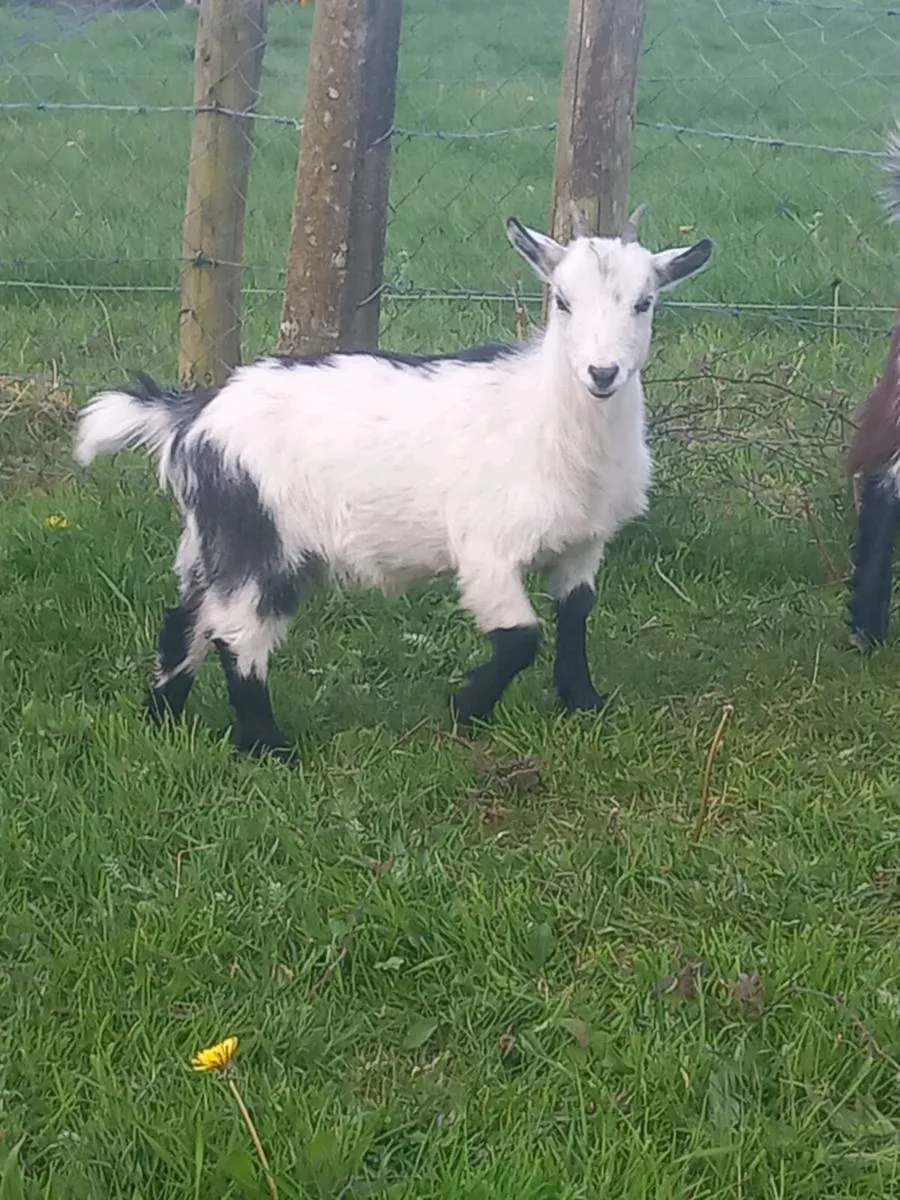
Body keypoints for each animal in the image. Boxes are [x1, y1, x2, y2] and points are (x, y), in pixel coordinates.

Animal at [73, 209, 713, 760]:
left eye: (645, 303)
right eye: (563, 301)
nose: (602, 373)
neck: (541, 416)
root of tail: (193, 415)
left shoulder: (583, 542)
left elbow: (575, 613)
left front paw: (583, 702)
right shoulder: (487, 549)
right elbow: (520, 636)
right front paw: (467, 707)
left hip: (214, 538)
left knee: (186, 619)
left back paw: (164, 719)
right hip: (257, 534)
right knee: (237, 634)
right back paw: (268, 746)